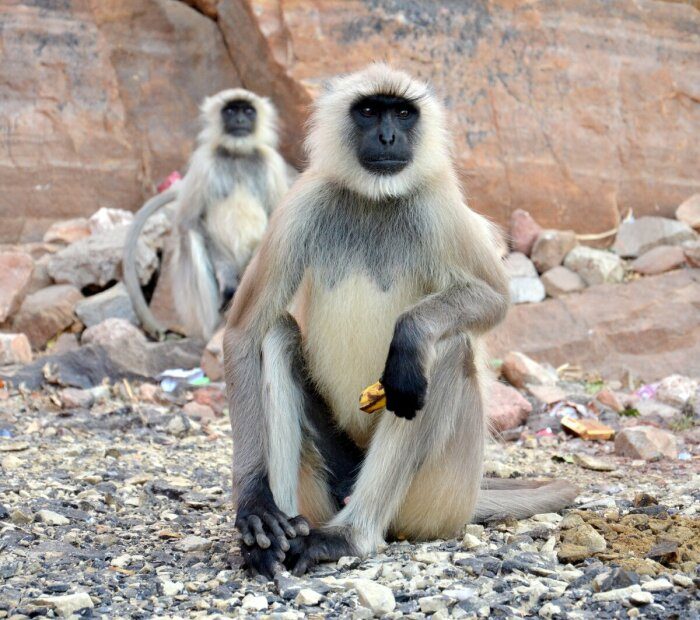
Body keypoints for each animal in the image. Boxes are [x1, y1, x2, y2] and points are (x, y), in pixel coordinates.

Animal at [123, 87, 290, 340]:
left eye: (248, 111)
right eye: (230, 110)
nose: (239, 120)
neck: (237, 155)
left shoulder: (272, 164)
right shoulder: (203, 163)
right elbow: (189, 222)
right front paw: (229, 282)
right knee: (189, 236)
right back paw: (215, 330)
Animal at [226, 65, 580, 580]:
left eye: (403, 113)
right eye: (370, 110)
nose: (389, 136)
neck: (376, 199)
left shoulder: (439, 205)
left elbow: (495, 300)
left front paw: (410, 336)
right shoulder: (300, 204)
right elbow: (244, 333)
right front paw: (254, 501)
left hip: (441, 494)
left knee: (445, 349)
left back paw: (349, 536)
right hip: (327, 482)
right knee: (276, 333)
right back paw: (281, 533)